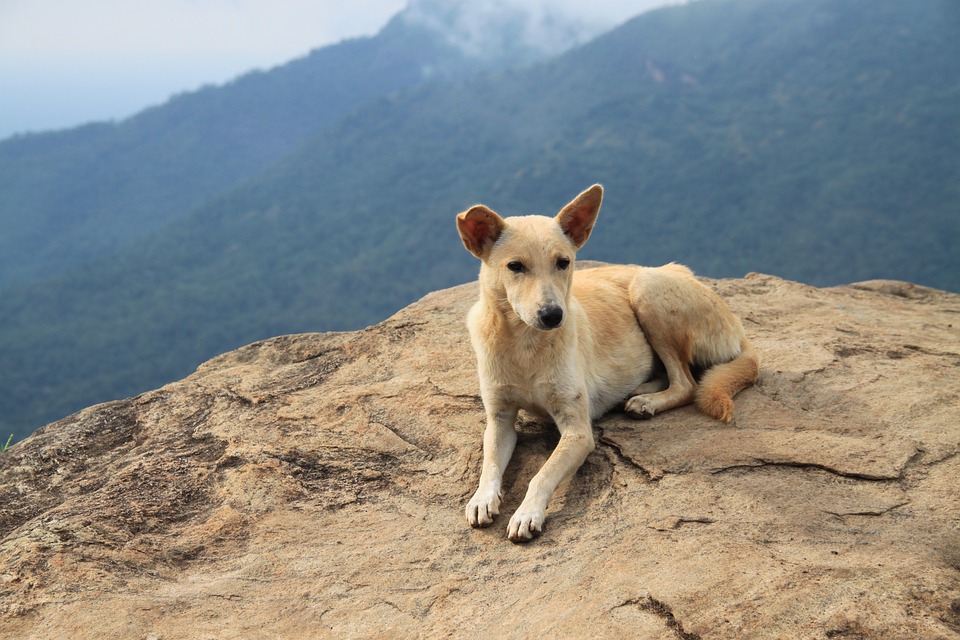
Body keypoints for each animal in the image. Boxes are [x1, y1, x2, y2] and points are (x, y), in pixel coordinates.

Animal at [456, 184, 756, 540]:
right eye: (515, 266)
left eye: (563, 262)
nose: (553, 315)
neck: (524, 344)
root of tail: (737, 325)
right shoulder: (499, 419)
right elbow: (489, 463)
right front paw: (482, 498)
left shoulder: (577, 432)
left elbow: (542, 474)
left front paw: (527, 513)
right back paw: (640, 390)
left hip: (647, 290)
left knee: (687, 382)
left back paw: (648, 401)